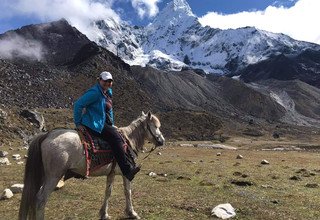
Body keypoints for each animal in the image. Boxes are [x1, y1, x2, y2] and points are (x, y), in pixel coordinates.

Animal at [18, 111, 165, 220]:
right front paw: (132, 213)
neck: (128, 141)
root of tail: (47, 135)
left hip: (43, 175)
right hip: (53, 177)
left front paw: (104, 214)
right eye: (156, 126)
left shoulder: (111, 173)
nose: (162, 141)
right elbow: (127, 192)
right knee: (40, 199)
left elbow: (108, 192)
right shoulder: (126, 173)